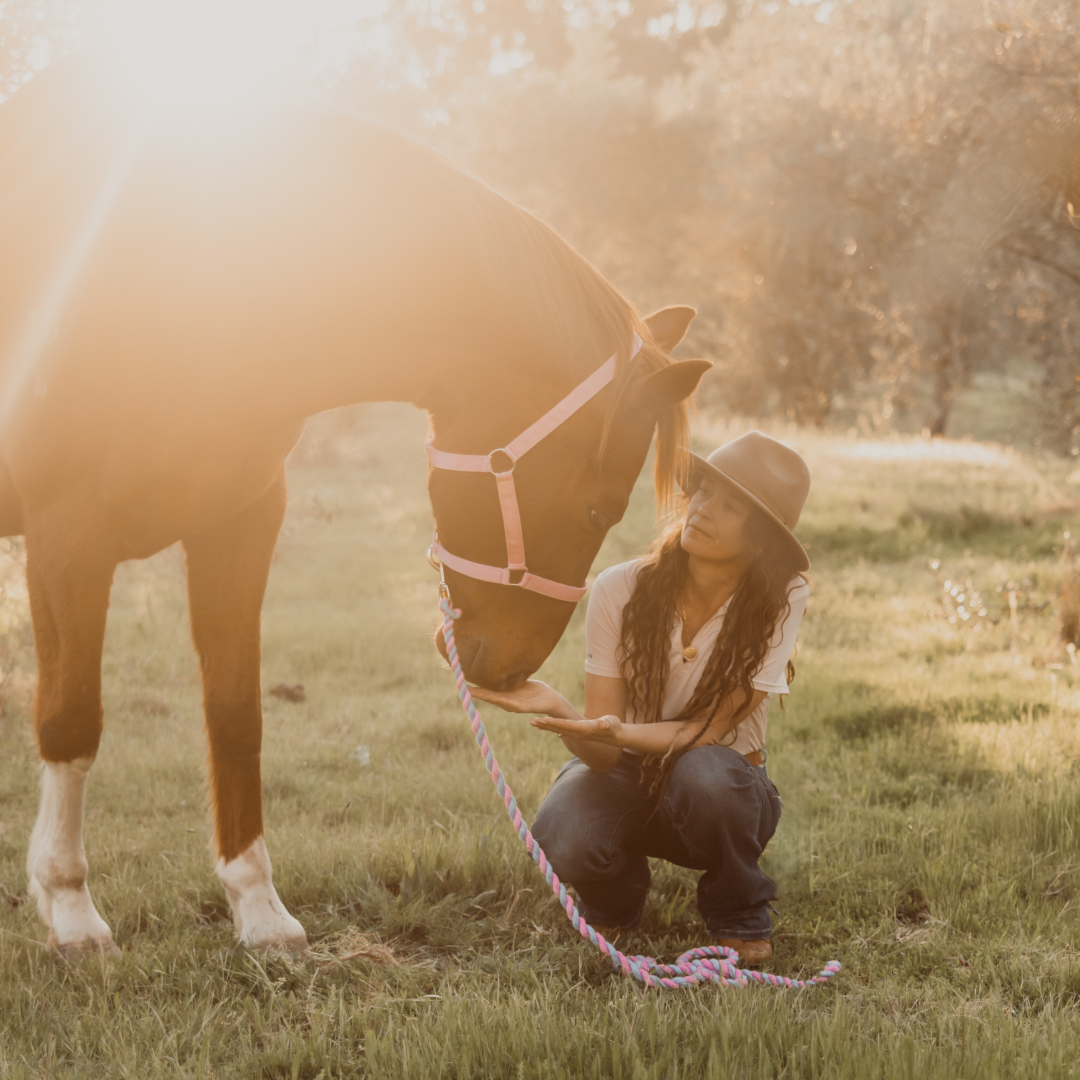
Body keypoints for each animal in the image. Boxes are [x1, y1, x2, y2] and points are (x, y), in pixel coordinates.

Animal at [0, 54, 709, 954]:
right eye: (595, 510)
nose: (504, 672)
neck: (195, 292)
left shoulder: (239, 526)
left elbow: (236, 711)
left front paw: (257, 907)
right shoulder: (69, 541)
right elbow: (71, 718)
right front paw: (68, 905)